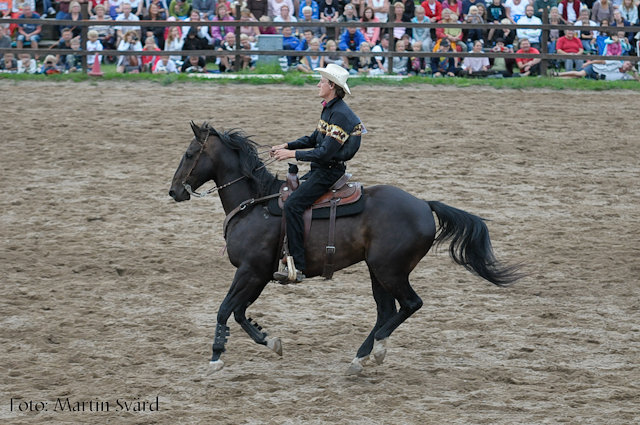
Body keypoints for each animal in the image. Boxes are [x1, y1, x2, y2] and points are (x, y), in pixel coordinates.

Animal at [169, 121, 520, 374]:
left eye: (188, 154)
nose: (174, 191)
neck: (253, 203)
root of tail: (424, 204)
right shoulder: (259, 275)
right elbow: (240, 312)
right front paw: (270, 341)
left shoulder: (250, 272)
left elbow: (225, 308)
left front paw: (216, 357)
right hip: (378, 271)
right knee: (386, 311)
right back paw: (361, 357)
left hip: (389, 270)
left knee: (410, 304)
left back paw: (375, 349)